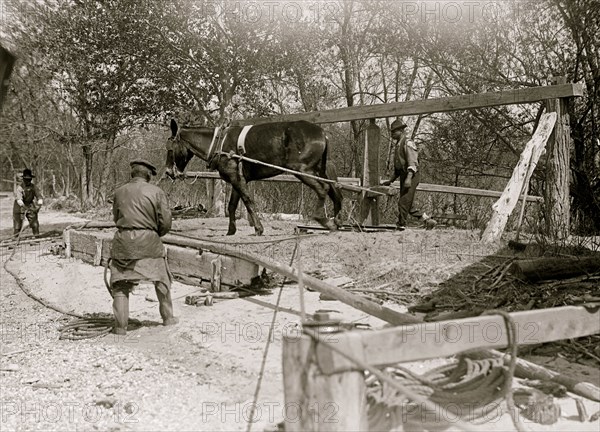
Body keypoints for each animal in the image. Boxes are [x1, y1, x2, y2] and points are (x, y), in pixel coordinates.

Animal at [165, 119, 342, 236]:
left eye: (170, 149)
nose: (168, 172)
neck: (219, 143)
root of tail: (322, 134)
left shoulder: (236, 178)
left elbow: (248, 201)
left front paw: (259, 228)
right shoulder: (238, 179)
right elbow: (232, 206)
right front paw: (231, 231)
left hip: (302, 170)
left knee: (323, 189)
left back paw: (323, 219)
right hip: (319, 170)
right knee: (334, 191)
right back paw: (337, 221)